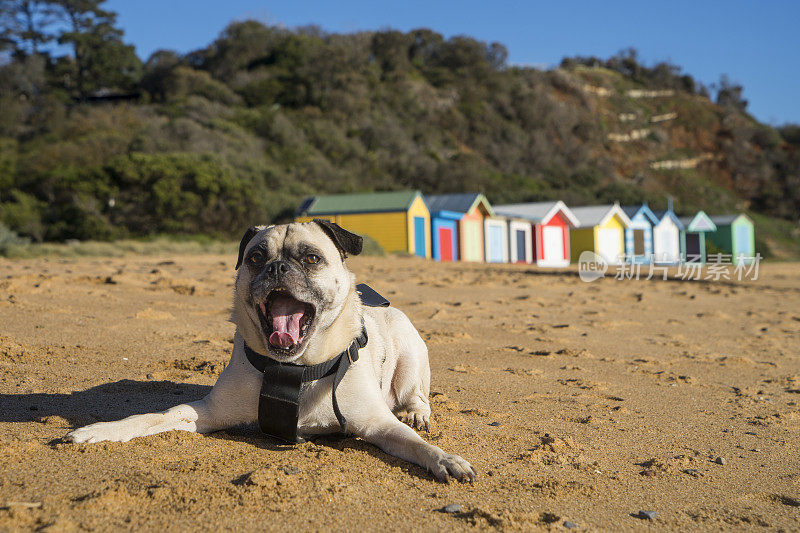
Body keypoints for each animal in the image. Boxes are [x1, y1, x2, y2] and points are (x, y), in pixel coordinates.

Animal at [67, 220, 476, 482]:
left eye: (311, 258)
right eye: (255, 258)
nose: (277, 267)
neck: (295, 368)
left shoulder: (378, 423)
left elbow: (415, 444)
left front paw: (444, 459)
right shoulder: (205, 413)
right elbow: (155, 416)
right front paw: (100, 431)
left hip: (410, 360)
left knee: (417, 396)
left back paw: (417, 414)